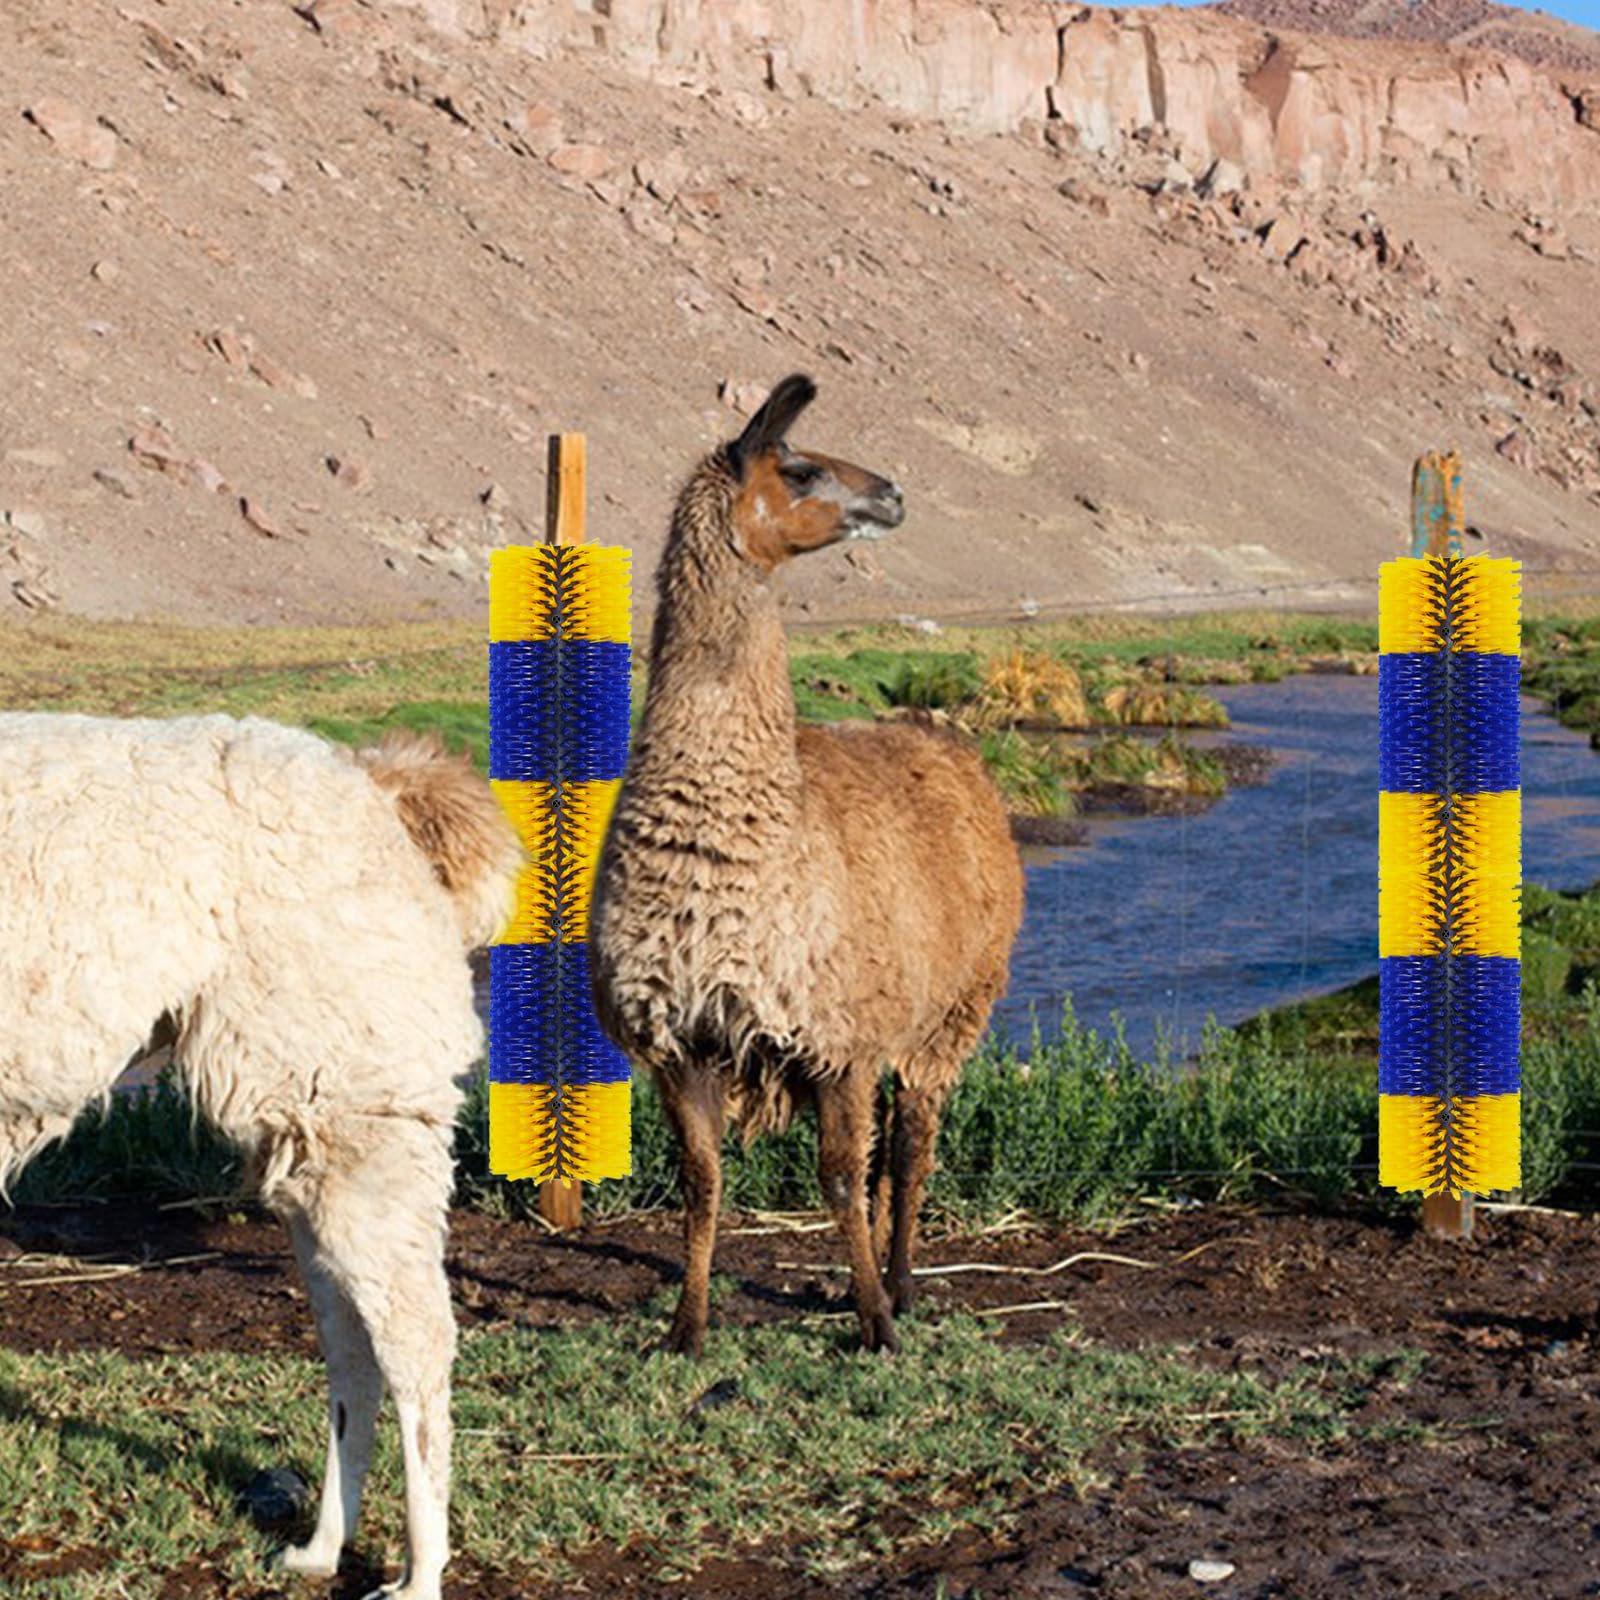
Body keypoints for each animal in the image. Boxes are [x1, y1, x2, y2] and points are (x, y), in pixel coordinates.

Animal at [0, 715, 523, 1600]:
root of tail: (373, 783)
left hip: (354, 1086)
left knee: (415, 1336)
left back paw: (418, 1574)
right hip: (314, 1109)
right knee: (353, 1343)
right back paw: (321, 1548)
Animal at [590, 375, 1024, 1355]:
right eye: (800, 468)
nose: (894, 493)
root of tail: (941, 737)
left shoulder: (838, 1038)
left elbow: (837, 1177)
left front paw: (874, 1325)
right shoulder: (685, 1038)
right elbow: (702, 1184)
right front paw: (686, 1330)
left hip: (956, 1008)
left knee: (913, 1145)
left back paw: (901, 1287)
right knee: (895, 1150)